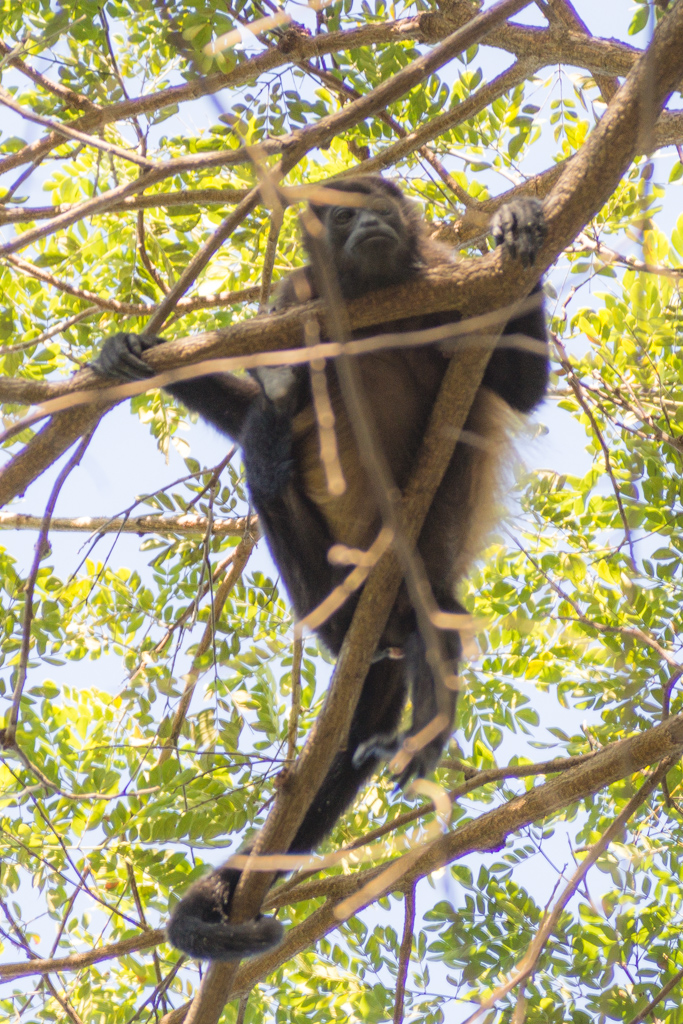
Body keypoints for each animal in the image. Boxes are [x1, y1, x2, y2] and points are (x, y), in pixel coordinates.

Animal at [93, 174, 548, 958]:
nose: (367, 224)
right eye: (340, 215)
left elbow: (519, 386)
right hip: (329, 593)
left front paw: (520, 221)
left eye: (378, 206)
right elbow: (258, 384)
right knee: (266, 470)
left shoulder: (444, 276)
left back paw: (430, 705)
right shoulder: (290, 301)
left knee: (438, 603)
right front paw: (135, 354)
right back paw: (276, 458)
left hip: (423, 575)